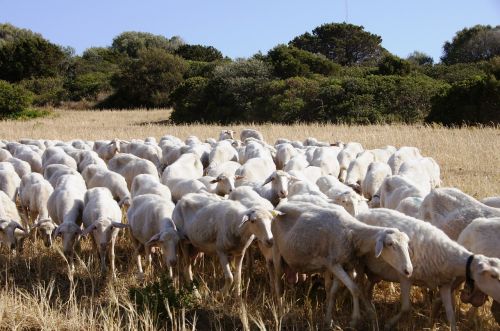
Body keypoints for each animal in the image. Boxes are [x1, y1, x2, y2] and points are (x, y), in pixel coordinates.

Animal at [272, 202, 412, 326]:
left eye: (407, 244)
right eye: (390, 244)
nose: (408, 270)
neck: (352, 233)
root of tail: (279, 206)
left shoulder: (343, 265)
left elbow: (333, 292)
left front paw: (328, 319)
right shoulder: (334, 264)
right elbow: (355, 289)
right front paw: (355, 319)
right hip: (276, 252)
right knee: (278, 285)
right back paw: (281, 314)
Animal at [358, 210, 500, 331]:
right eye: (494, 276)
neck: (447, 255)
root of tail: (366, 211)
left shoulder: (445, 285)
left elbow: (451, 315)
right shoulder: (405, 276)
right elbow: (405, 308)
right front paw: (388, 324)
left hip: (374, 271)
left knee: (369, 285)